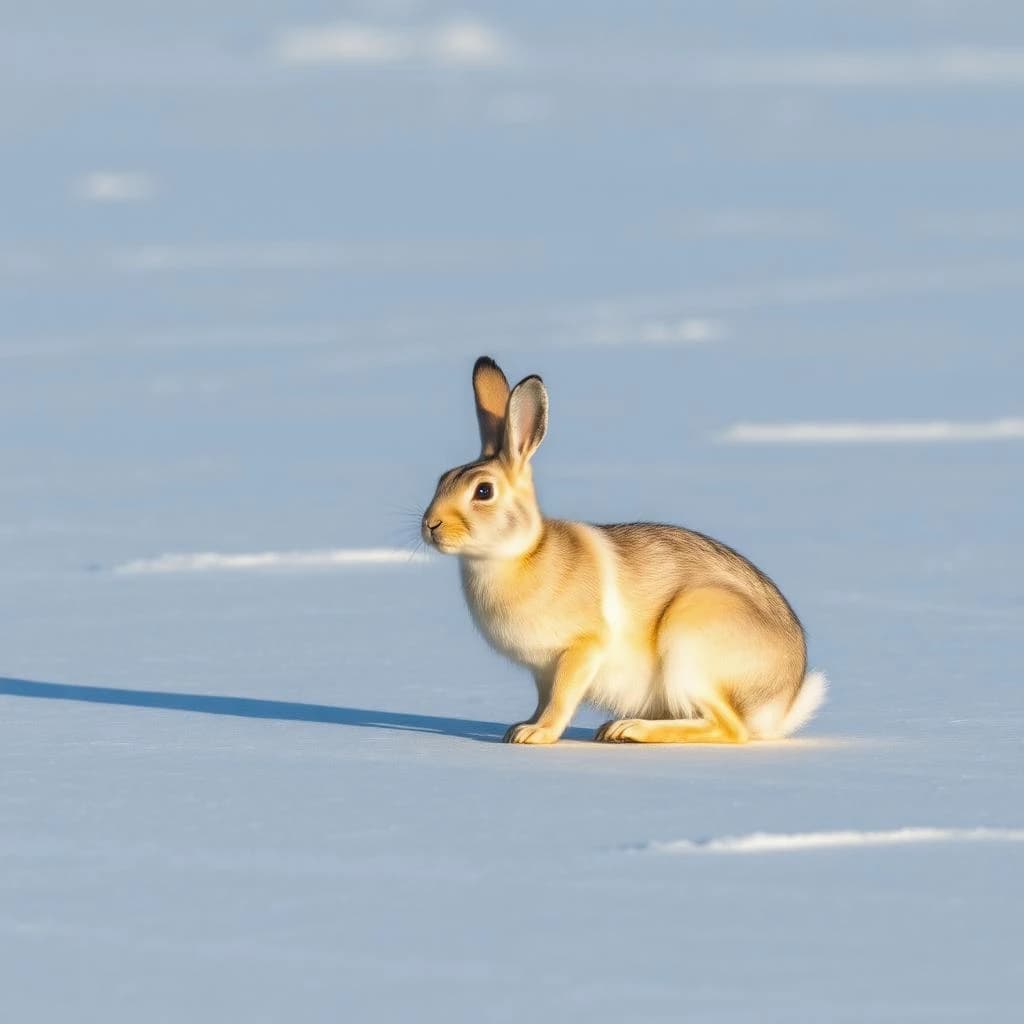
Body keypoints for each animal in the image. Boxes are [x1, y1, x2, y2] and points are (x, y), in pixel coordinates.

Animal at [421, 356, 826, 744]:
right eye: (442, 478)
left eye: (483, 491)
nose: (430, 525)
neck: (520, 554)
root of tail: (778, 703)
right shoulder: (541, 669)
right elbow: (543, 699)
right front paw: (521, 726)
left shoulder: (581, 649)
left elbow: (561, 698)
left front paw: (536, 735)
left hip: (692, 640)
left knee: (729, 728)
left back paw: (629, 729)